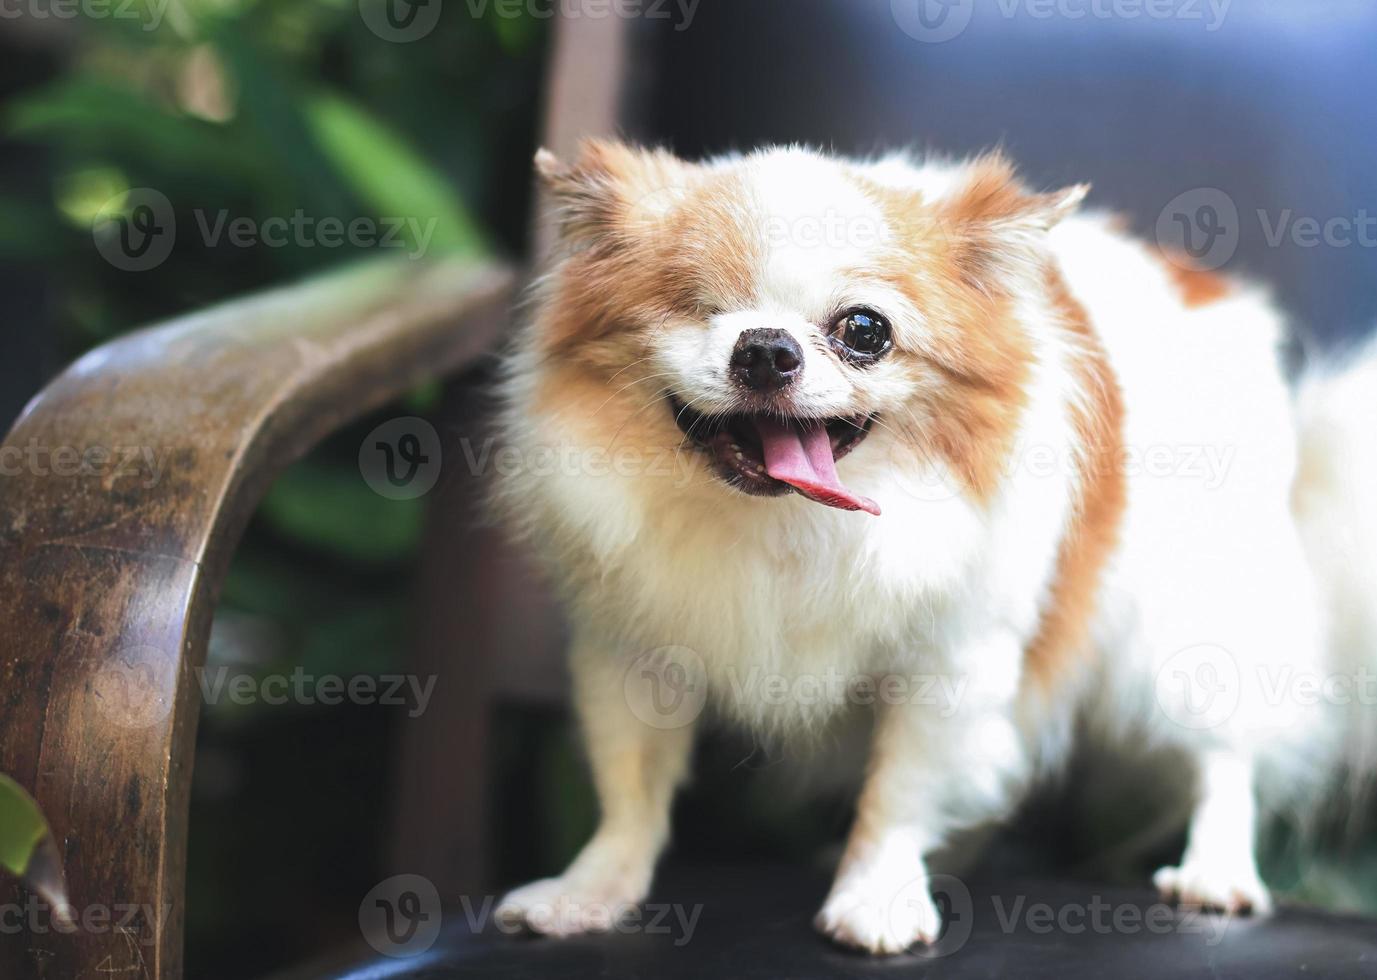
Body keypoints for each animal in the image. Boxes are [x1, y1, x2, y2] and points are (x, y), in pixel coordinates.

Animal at [490, 141, 1371, 952]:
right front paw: (592, 889)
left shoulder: (949, 660)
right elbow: (629, 788)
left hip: (1181, 630)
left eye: (864, 332)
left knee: (1224, 753)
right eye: (696, 311)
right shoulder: (628, 649)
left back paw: (1214, 870)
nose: (766, 347)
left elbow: (899, 788)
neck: (785, 524)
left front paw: (875, 896)